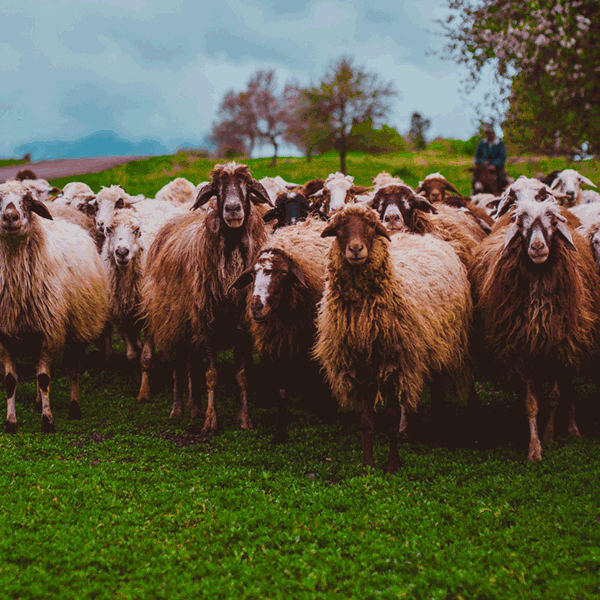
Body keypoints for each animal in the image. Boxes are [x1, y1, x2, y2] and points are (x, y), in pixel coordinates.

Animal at [0, 178, 109, 432]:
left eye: (27, 200)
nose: (9, 217)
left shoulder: (49, 332)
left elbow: (44, 378)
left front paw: (47, 420)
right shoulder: (5, 336)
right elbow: (11, 381)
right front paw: (11, 422)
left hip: (78, 328)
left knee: (73, 369)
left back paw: (74, 408)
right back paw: (37, 403)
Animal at [230, 216, 332, 440]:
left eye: (283, 273)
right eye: (252, 275)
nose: (256, 307)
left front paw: (320, 410)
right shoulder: (277, 345)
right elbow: (282, 390)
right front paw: (281, 431)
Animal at [314, 205, 474, 474]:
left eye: (370, 225)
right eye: (339, 227)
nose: (355, 249)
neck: (363, 317)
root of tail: (422, 236)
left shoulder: (394, 363)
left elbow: (390, 418)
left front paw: (392, 464)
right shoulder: (361, 367)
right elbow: (366, 421)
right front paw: (368, 465)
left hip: (444, 345)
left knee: (438, 391)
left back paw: (437, 431)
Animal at [468, 199, 600, 462]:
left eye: (552, 223)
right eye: (521, 225)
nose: (537, 247)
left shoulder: (560, 349)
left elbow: (555, 396)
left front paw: (548, 434)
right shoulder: (520, 351)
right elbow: (531, 401)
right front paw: (534, 446)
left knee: (568, 389)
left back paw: (572, 428)